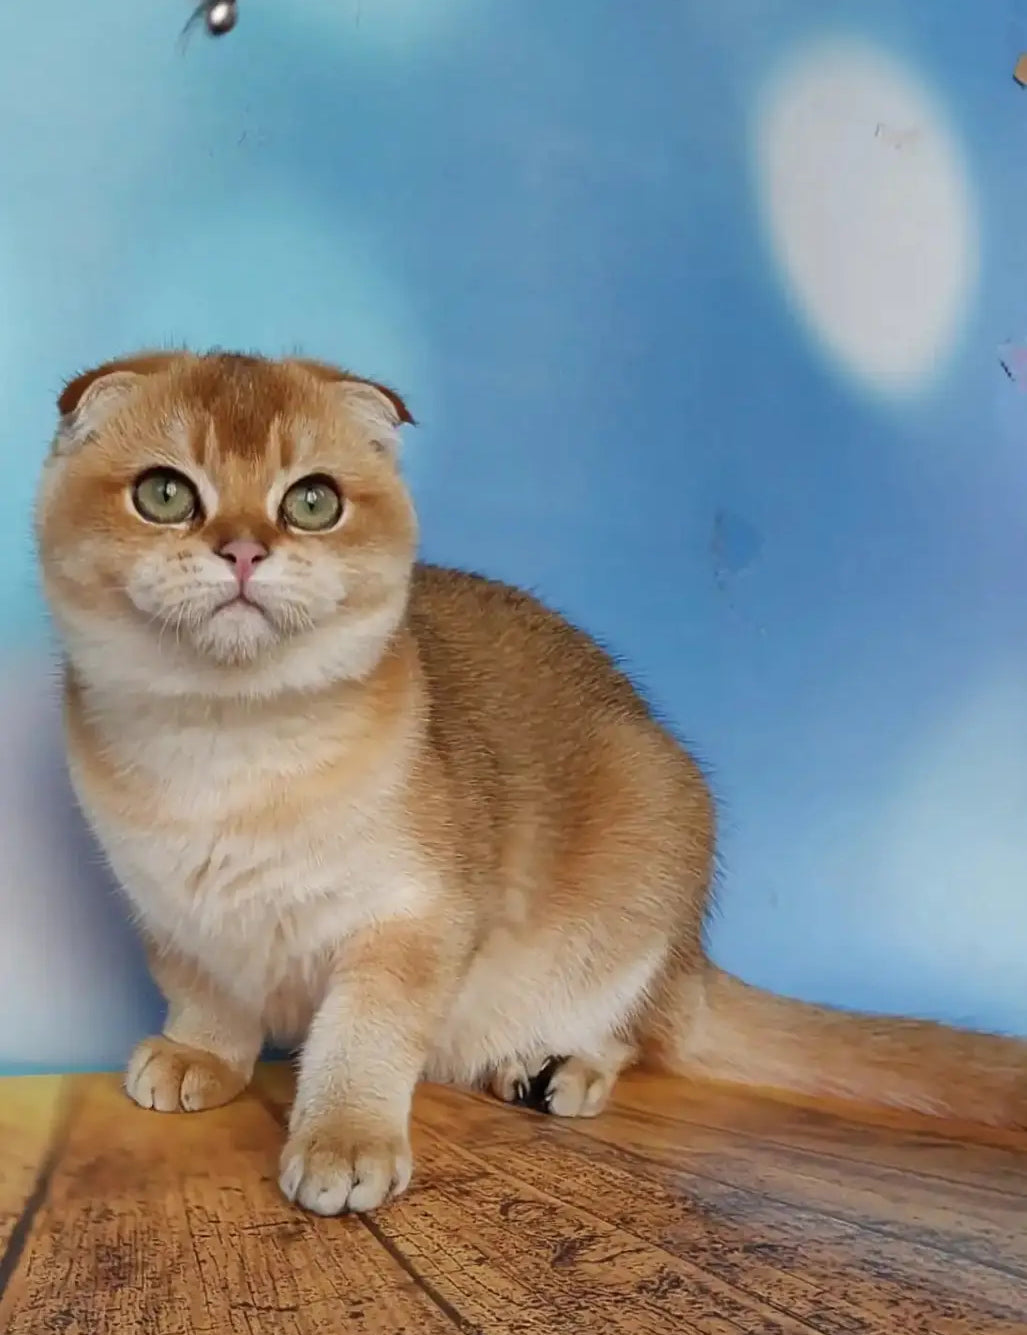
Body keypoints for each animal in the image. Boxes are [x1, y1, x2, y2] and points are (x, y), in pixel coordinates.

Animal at [34, 349, 1025, 1217]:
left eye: (311, 502)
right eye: (164, 493)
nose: (243, 550)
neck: (227, 744)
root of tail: (689, 964)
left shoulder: (416, 916)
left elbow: (362, 1033)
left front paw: (346, 1140)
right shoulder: (171, 910)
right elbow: (207, 991)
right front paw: (200, 1055)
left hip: (647, 845)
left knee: (628, 1033)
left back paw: (560, 1068)